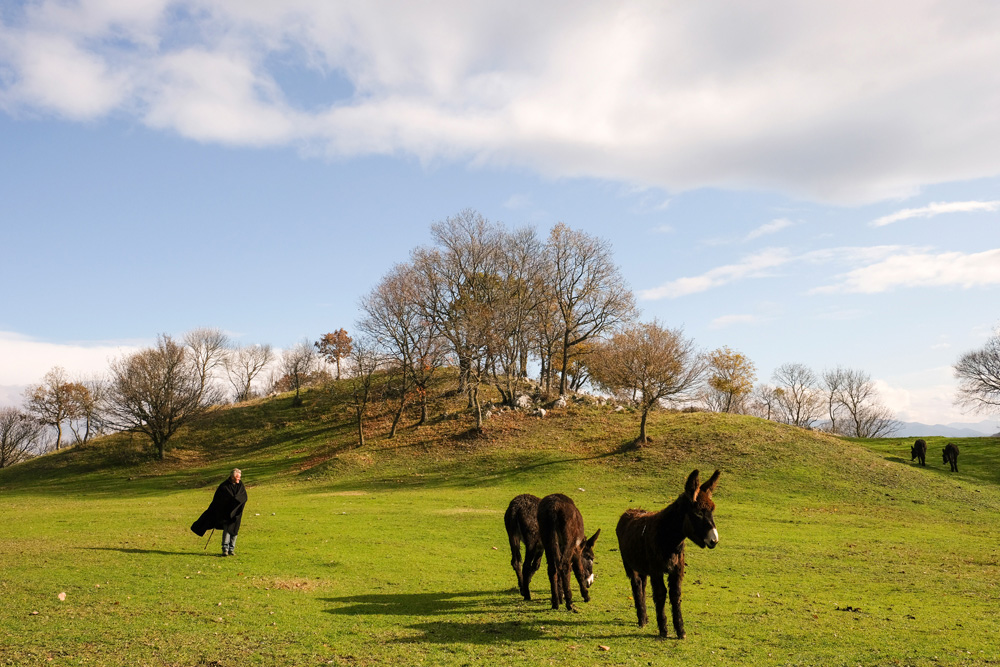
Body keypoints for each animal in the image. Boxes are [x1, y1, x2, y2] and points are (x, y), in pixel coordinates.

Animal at [612, 468, 724, 640]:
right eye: (698, 513)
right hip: (630, 565)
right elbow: (660, 594)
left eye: (712, 511)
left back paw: (645, 618)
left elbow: (675, 595)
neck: (670, 540)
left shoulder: (677, 570)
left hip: (643, 567)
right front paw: (663, 630)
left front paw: (680, 631)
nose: (714, 540)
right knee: (636, 585)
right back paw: (641, 620)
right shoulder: (656, 571)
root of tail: (630, 511)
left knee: (642, 585)